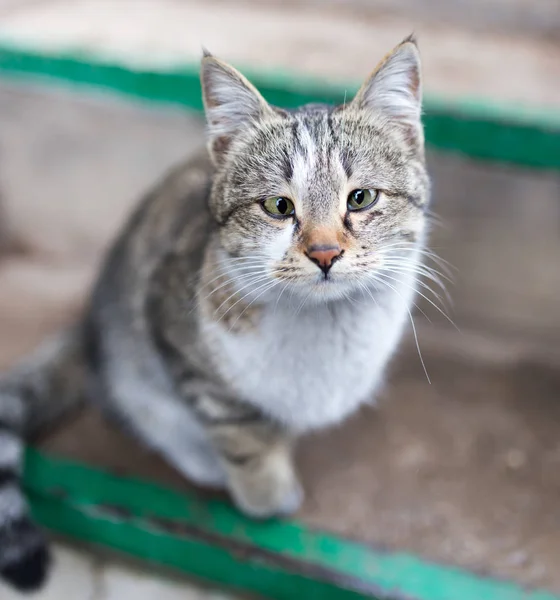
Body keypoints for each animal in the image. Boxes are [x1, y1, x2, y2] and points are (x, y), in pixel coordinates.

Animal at [0, 37, 428, 592]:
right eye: (278, 206)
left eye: (361, 197)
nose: (325, 252)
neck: (323, 325)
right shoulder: (173, 329)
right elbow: (239, 430)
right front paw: (264, 494)